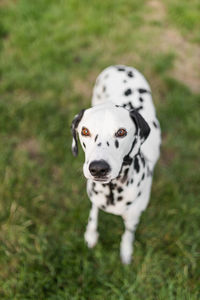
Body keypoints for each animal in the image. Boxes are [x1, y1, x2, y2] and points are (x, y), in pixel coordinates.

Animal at [71, 65, 162, 264]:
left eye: (121, 132)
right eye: (85, 131)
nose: (98, 168)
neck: (113, 189)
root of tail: (121, 67)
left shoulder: (133, 217)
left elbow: (128, 234)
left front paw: (126, 251)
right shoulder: (94, 198)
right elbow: (93, 214)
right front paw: (91, 235)